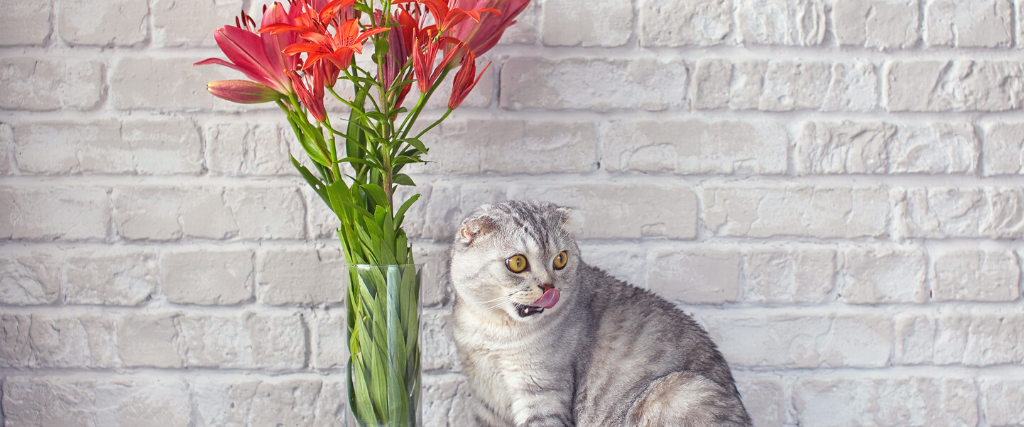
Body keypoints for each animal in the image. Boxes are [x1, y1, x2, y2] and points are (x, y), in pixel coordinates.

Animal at [448, 200, 753, 425]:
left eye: (561, 259)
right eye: (517, 262)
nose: (549, 287)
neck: (492, 329)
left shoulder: (542, 392)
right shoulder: (486, 401)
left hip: (680, 391)